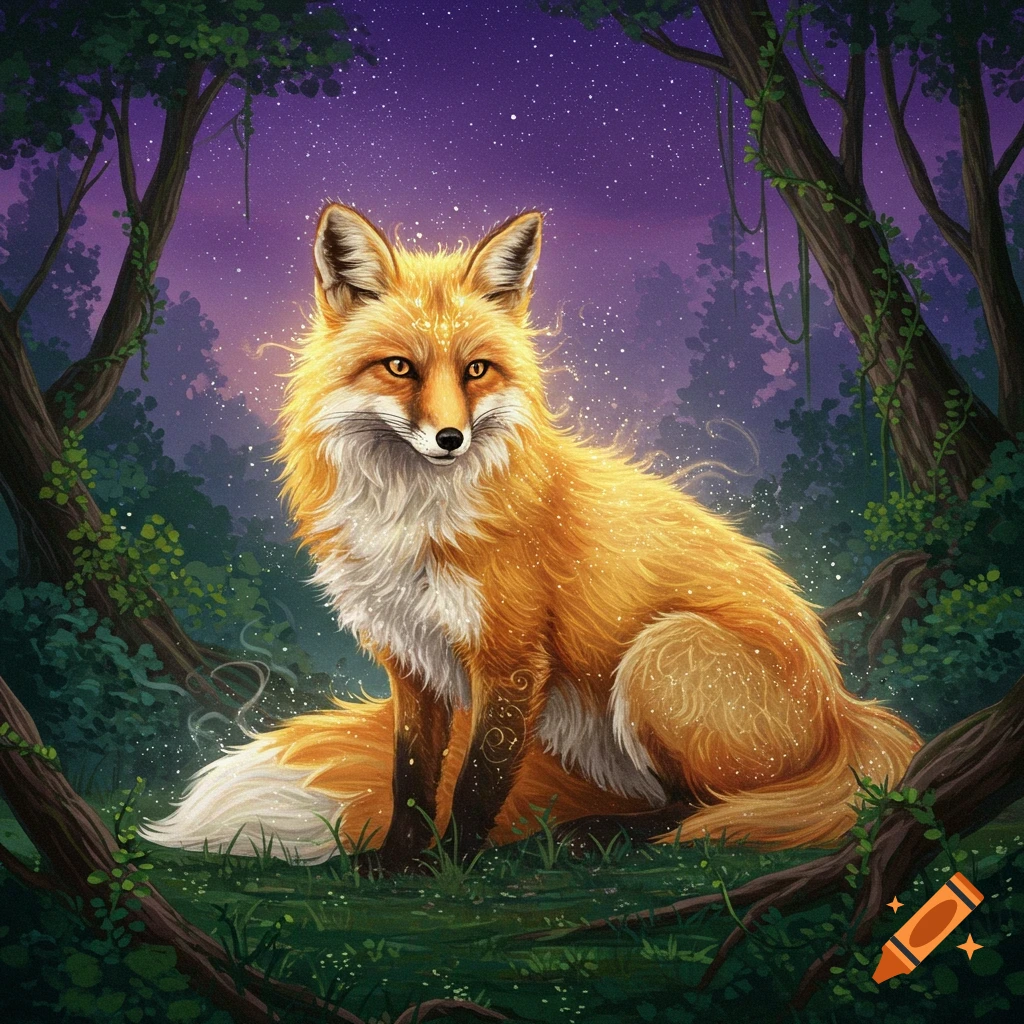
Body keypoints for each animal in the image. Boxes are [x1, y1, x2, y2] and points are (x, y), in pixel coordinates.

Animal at [141, 204, 922, 872]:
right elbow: (412, 777)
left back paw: (603, 835)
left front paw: (452, 868)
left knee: (711, 806)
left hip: (660, 654)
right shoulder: (411, 660)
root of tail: (847, 711)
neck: (415, 518)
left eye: (476, 370)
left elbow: (478, 781)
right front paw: (398, 862)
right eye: (399, 368)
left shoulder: (513, 658)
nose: (450, 438)